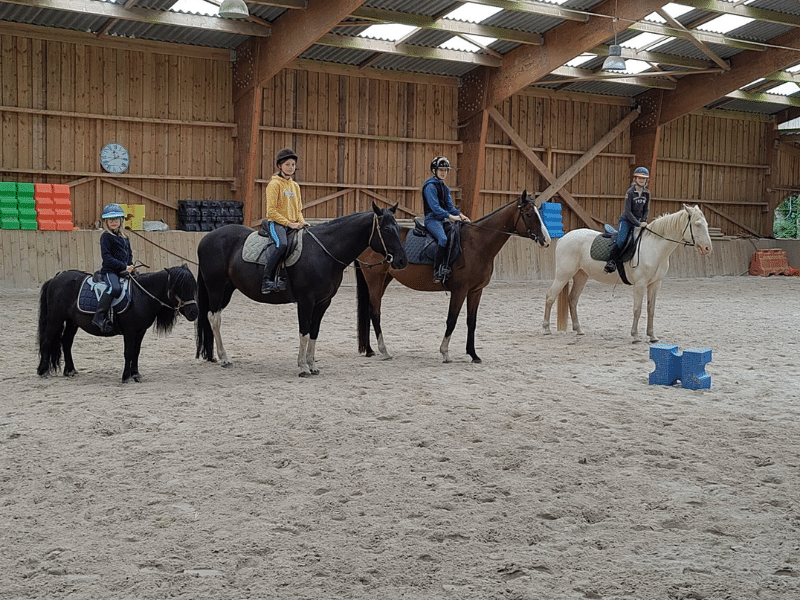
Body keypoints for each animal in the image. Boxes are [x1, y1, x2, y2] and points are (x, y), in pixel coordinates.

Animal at [36, 264, 200, 382]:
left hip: (72, 322)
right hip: (55, 319)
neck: (141, 296)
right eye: (179, 287)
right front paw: (126, 376)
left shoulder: (141, 331)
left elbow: (136, 352)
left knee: (66, 342)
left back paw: (69, 370)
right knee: (47, 340)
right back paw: (43, 371)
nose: (194, 313)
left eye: (192, 286)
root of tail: (55, 278)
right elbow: (128, 352)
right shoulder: (130, 330)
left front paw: (136, 374)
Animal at [194, 204, 406, 378]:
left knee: (212, 317)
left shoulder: (323, 302)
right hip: (216, 288)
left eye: (398, 229)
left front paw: (312, 365)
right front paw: (303, 367)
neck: (324, 252)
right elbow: (304, 331)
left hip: (227, 289)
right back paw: (224, 358)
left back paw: (214, 356)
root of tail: (207, 238)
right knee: (214, 318)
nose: (402, 260)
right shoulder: (305, 301)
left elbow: (314, 332)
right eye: (387, 229)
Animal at [360, 190, 552, 364]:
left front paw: (473, 354)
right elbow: (451, 320)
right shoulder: (459, 290)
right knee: (375, 312)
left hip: (384, 279)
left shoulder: (476, 291)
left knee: (369, 312)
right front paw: (445, 352)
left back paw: (370, 350)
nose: (547, 241)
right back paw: (384, 351)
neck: (477, 244)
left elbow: (471, 321)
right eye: (529, 214)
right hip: (375, 279)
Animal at [544, 204, 712, 342]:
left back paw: (579, 330)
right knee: (550, 296)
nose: (707, 249)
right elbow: (637, 309)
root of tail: (564, 238)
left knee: (572, 299)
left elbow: (651, 309)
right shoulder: (640, 284)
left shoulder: (655, 284)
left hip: (581, 275)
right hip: (563, 275)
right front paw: (635, 336)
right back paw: (546, 329)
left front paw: (652, 336)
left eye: (706, 225)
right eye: (697, 225)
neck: (654, 248)